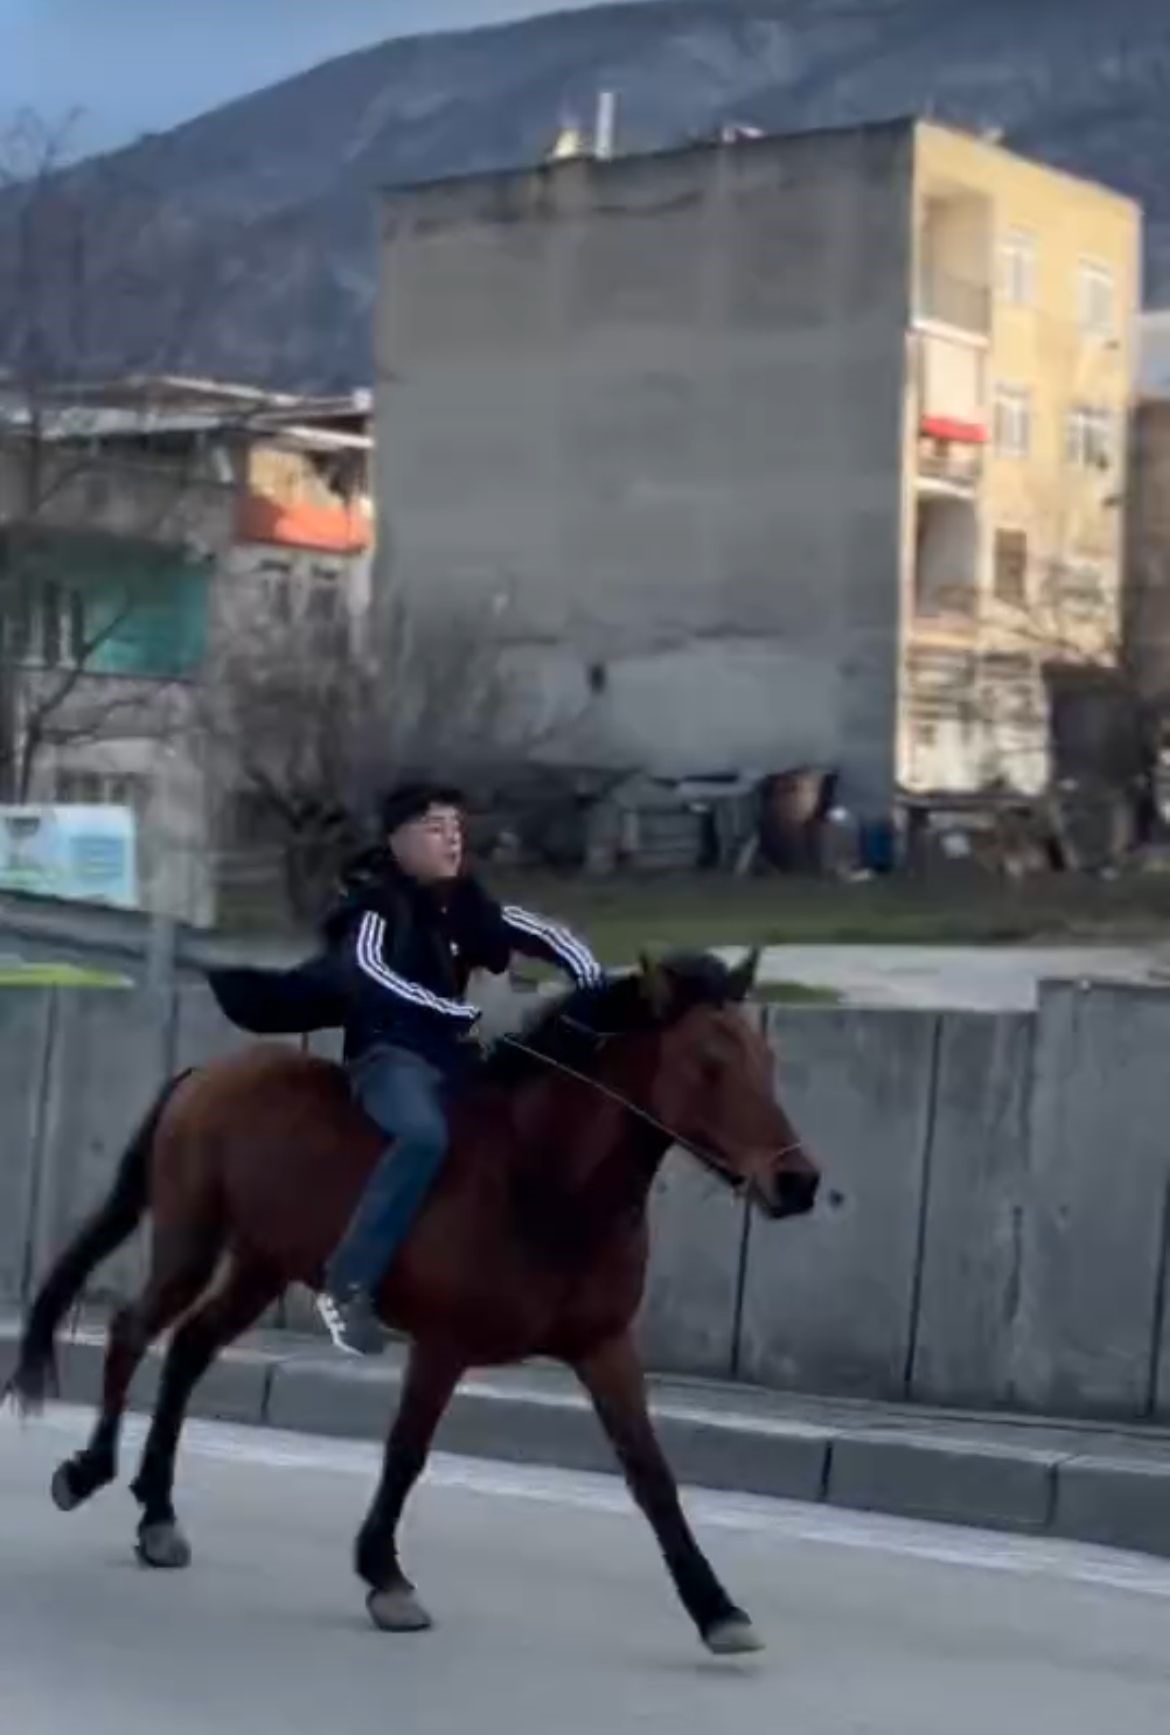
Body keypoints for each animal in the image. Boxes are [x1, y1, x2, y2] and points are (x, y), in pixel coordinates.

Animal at [9, 957, 815, 1644]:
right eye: (709, 1061)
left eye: (767, 1060)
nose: (798, 1182)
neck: (543, 1179)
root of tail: (204, 1072)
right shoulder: (443, 1343)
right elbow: (406, 1452)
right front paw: (385, 1575)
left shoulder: (603, 1345)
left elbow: (652, 1475)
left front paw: (716, 1607)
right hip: (191, 1240)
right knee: (133, 1330)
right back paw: (88, 1472)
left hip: (259, 1266)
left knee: (186, 1350)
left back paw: (157, 1513)